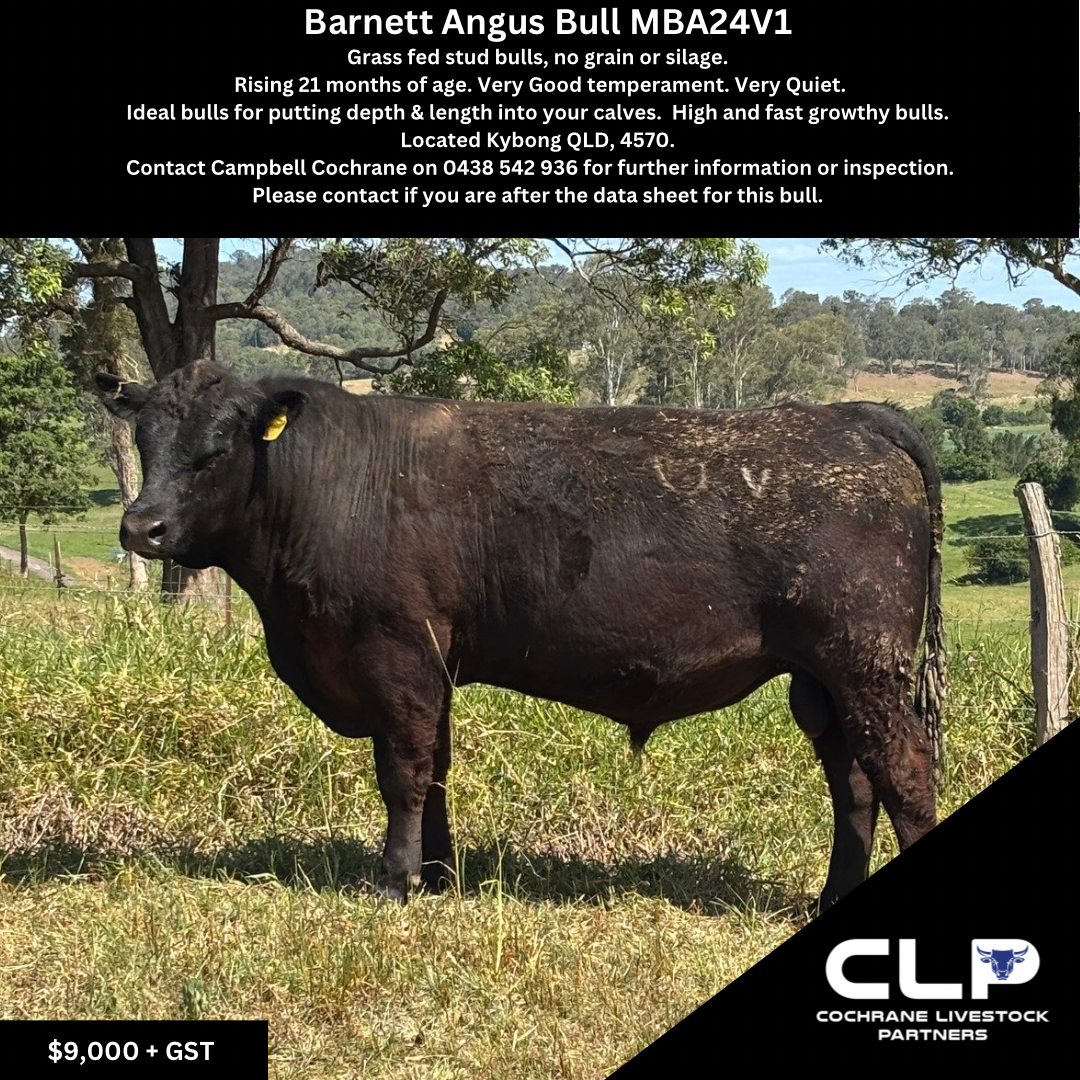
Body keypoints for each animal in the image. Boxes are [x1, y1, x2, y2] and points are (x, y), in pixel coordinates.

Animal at [95, 360, 946, 909]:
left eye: (217, 449)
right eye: (145, 441)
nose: (142, 527)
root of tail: (847, 416)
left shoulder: (397, 654)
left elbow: (403, 772)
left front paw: (395, 883)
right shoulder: (431, 665)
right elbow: (436, 769)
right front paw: (438, 876)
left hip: (864, 662)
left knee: (904, 770)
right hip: (821, 680)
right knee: (854, 782)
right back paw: (831, 898)